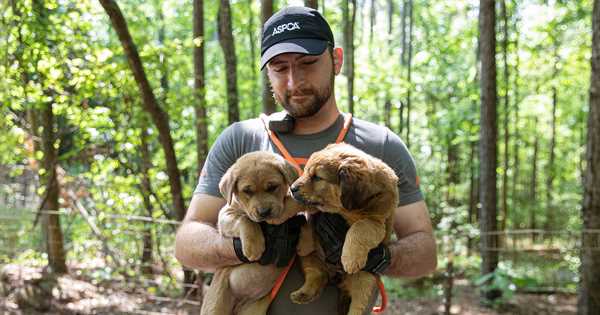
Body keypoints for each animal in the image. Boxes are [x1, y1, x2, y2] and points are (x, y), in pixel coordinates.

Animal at [200, 152, 324, 314]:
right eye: (247, 191)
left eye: (272, 187)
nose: (264, 212)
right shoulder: (225, 215)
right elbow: (246, 220)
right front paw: (254, 247)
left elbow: (302, 217)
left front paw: (306, 243)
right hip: (216, 305)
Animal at [290, 144, 398, 315]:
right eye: (306, 171)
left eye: (317, 177)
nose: (292, 188)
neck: (346, 210)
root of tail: (337, 279)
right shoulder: (319, 212)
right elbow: (310, 215)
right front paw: (305, 240)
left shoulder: (377, 221)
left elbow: (360, 227)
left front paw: (350, 259)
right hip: (310, 260)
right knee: (316, 275)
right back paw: (303, 293)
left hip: (365, 282)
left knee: (357, 306)